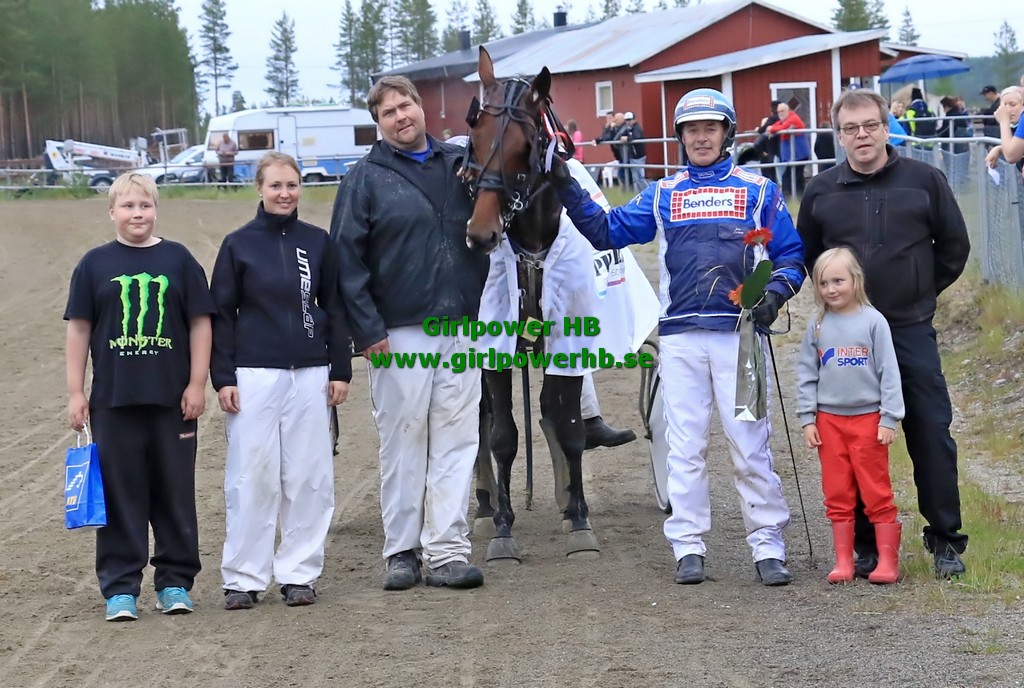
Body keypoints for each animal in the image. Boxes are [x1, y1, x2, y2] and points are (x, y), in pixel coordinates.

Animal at [462, 46, 600, 563]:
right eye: (476, 137)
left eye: (526, 145)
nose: (481, 234)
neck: (534, 249)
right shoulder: (493, 349)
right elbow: (502, 436)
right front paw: (502, 526)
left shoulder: (571, 339)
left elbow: (570, 425)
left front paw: (578, 517)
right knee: (482, 422)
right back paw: (485, 507)